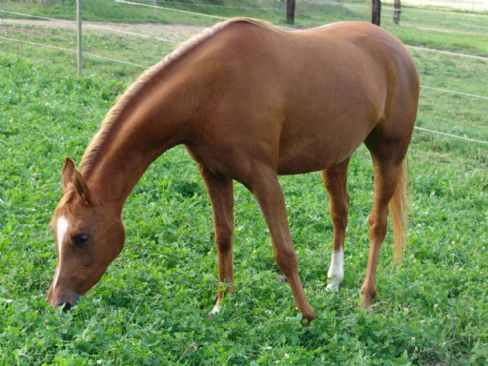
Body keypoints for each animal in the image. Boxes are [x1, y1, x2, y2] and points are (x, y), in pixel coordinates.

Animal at [46, 17, 420, 320]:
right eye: (55, 232)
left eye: (81, 237)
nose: (57, 302)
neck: (211, 88)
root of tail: (396, 48)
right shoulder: (214, 173)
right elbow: (223, 237)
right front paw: (221, 303)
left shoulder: (264, 179)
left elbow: (284, 251)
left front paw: (306, 315)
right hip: (337, 157)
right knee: (339, 214)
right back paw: (334, 281)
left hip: (387, 155)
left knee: (377, 224)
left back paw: (365, 299)